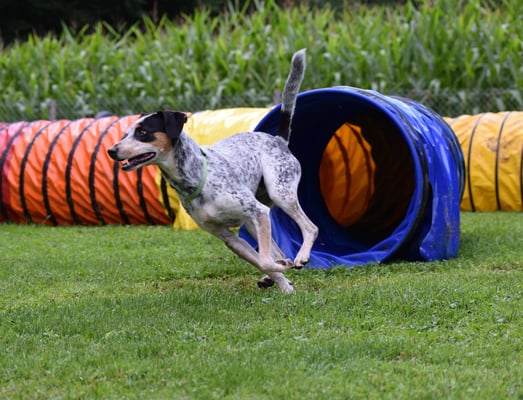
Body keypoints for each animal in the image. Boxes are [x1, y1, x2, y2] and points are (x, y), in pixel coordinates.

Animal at [107, 49, 318, 293]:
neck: (196, 178)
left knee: (310, 228)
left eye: (142, 133)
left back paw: (301, 257)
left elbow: (266, 260)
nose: (111, 150)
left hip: (279, 194)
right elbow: (262, 261)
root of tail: (278, 139)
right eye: (126, 133)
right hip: (253, 220)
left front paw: (285, 270)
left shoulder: (258, 212)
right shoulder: (229, 237)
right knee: (278, 249)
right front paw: (284, 283)